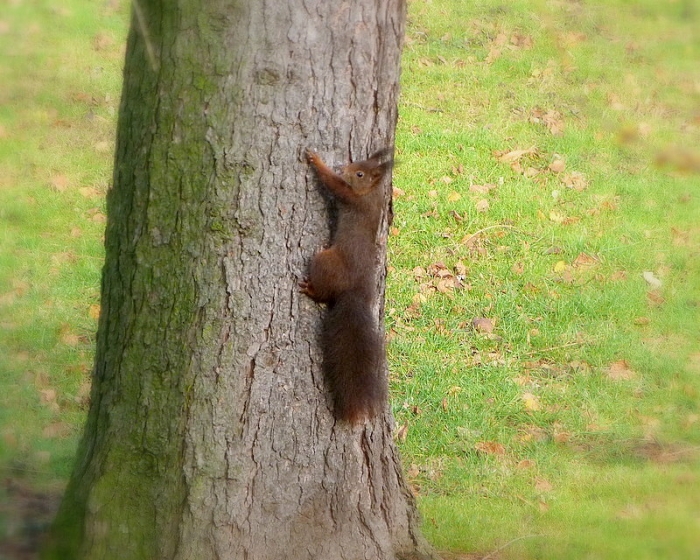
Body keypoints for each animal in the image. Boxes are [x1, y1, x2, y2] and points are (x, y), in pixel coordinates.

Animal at [301, 148, 393, 424]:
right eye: (358, 163)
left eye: (360, 173)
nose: (343, 168)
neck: (371, 193)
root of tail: (355, 290)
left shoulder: (350, 197)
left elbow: (332, 183)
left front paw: (316, 160)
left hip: (325, 261)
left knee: (323, 294)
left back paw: (311, 289)